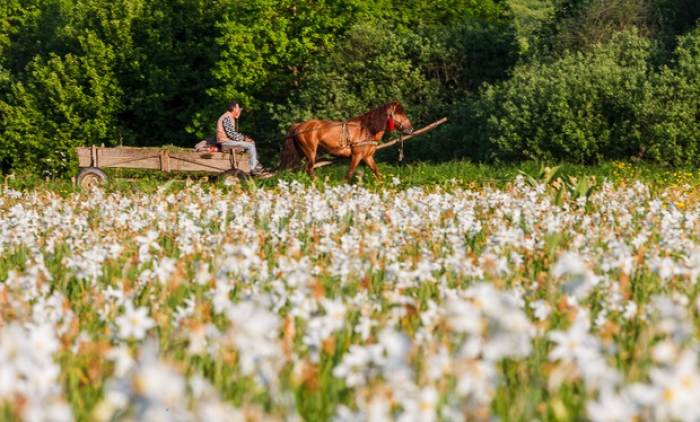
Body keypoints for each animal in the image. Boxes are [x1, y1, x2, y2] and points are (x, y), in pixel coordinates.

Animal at [278, 102, 410, 183]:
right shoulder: (357, 156)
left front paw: (382, 186)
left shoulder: (367, 156)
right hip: (310, 151)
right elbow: (349, 173)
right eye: (400, 113)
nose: (410, 128)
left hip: (301, 151)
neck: (366, 129)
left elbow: (376, 171)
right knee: (309, 168)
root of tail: (298, 125)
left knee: (295, 167)